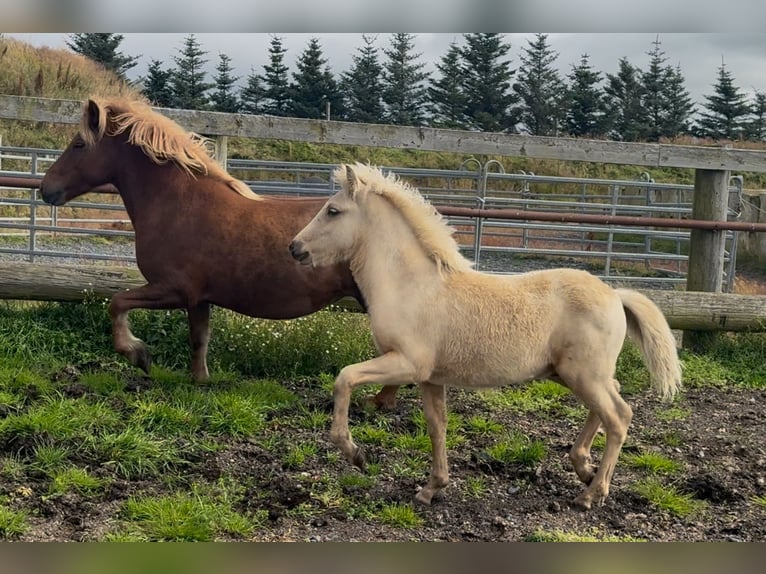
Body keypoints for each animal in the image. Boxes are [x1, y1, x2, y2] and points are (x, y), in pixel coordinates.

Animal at [37, 97, 383, 388]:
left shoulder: (174, 289)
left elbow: (117, 302)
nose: (45, 189)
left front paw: (138, 353)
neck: (177, 202)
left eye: (79, 144)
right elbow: (199, 340)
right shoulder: (200, 299)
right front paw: (199, 381)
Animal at [289, 163, 682, 510]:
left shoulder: (406, 364)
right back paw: (582, 466)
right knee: (611, 401)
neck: (412, 286)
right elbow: (437, 427)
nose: (295, 248)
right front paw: (431, 489)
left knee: (619, 416)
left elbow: (345, 379)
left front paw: (355, 453)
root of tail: (615, 294)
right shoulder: (430, 378)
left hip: (583, 375)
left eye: (333, 211)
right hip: (574, 374)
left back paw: (591, 493)